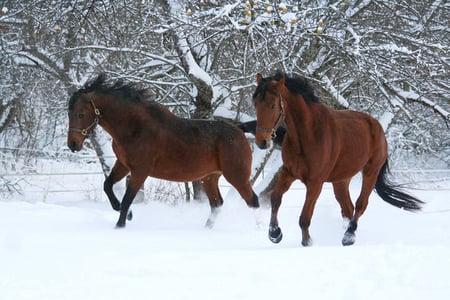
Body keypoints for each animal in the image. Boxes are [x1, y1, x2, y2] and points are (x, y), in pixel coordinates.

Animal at [65, 74, 258, 227]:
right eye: (69, 113)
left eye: (81, 114)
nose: (72, 144)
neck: (135, 128)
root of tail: (239, 130)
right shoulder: (123, 165)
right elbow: (108, 186)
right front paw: (126, 214)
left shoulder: (140, 171)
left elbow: (127, 199)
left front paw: (120, 225)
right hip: (210, 178)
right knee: (217, 204)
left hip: (237, 177)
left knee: (253, 201)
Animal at [253, 72, 422, 246]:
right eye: (256, 104)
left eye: (272, 105)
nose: (262, 142)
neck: (308, 135)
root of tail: (378, 127)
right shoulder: (288, 173)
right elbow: (275, 198)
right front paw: (275, 234)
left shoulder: (315, 183)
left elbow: (304, 217)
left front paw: (307, 242)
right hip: (341, 180)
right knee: (348, 208)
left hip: (370, 172)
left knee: (360, 205)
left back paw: (349, 236)